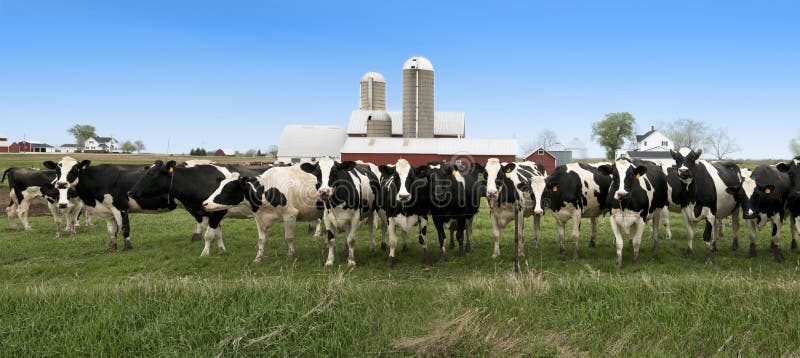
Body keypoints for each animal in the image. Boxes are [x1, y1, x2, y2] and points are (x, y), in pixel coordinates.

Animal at [45, 157, 173, 252]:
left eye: (75, 169)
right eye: (57, 170)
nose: (61, 184)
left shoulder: (120, 206)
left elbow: (124, 228)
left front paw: (127, 248)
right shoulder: (108, 211)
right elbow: (112, 230)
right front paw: (112, 248)